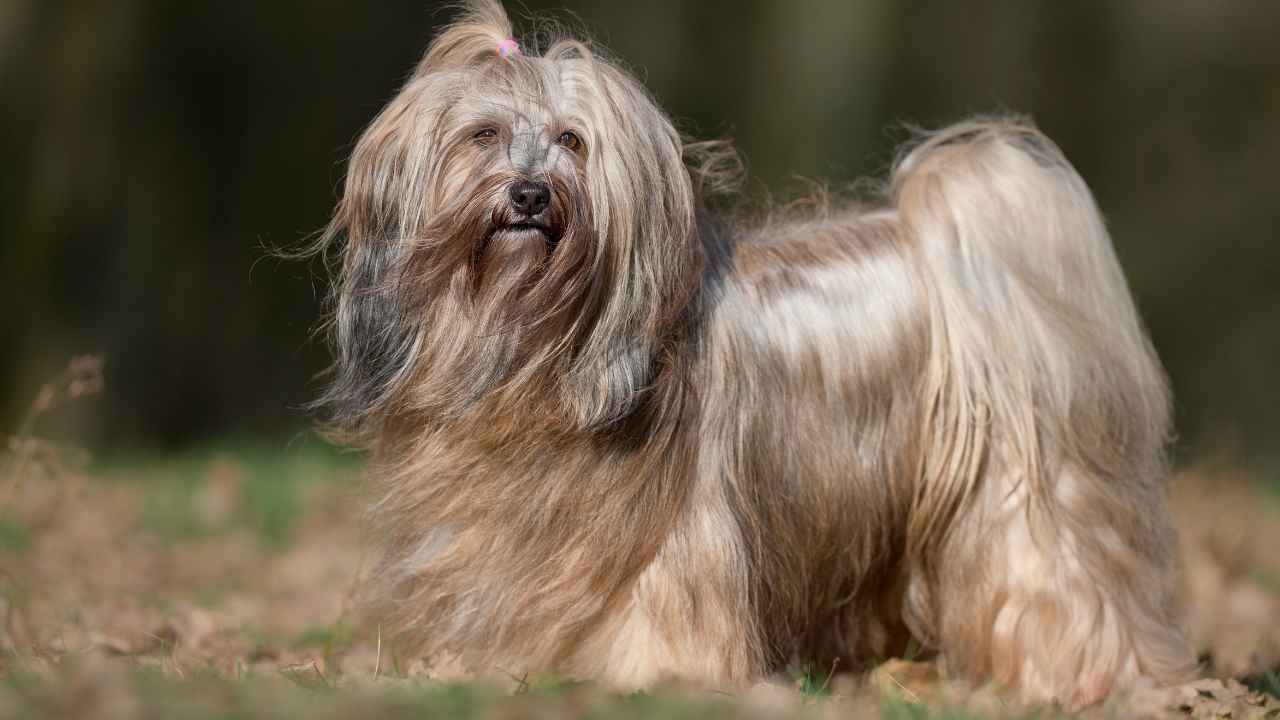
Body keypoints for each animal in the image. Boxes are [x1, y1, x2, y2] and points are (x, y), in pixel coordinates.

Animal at [312, 0, 1198, 707]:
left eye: (572, 141)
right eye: (483, 135)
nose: (529, 194)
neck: (535, 343)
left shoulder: (679, 538)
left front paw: (652, 680)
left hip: (1023, 488)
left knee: (1053, 576)